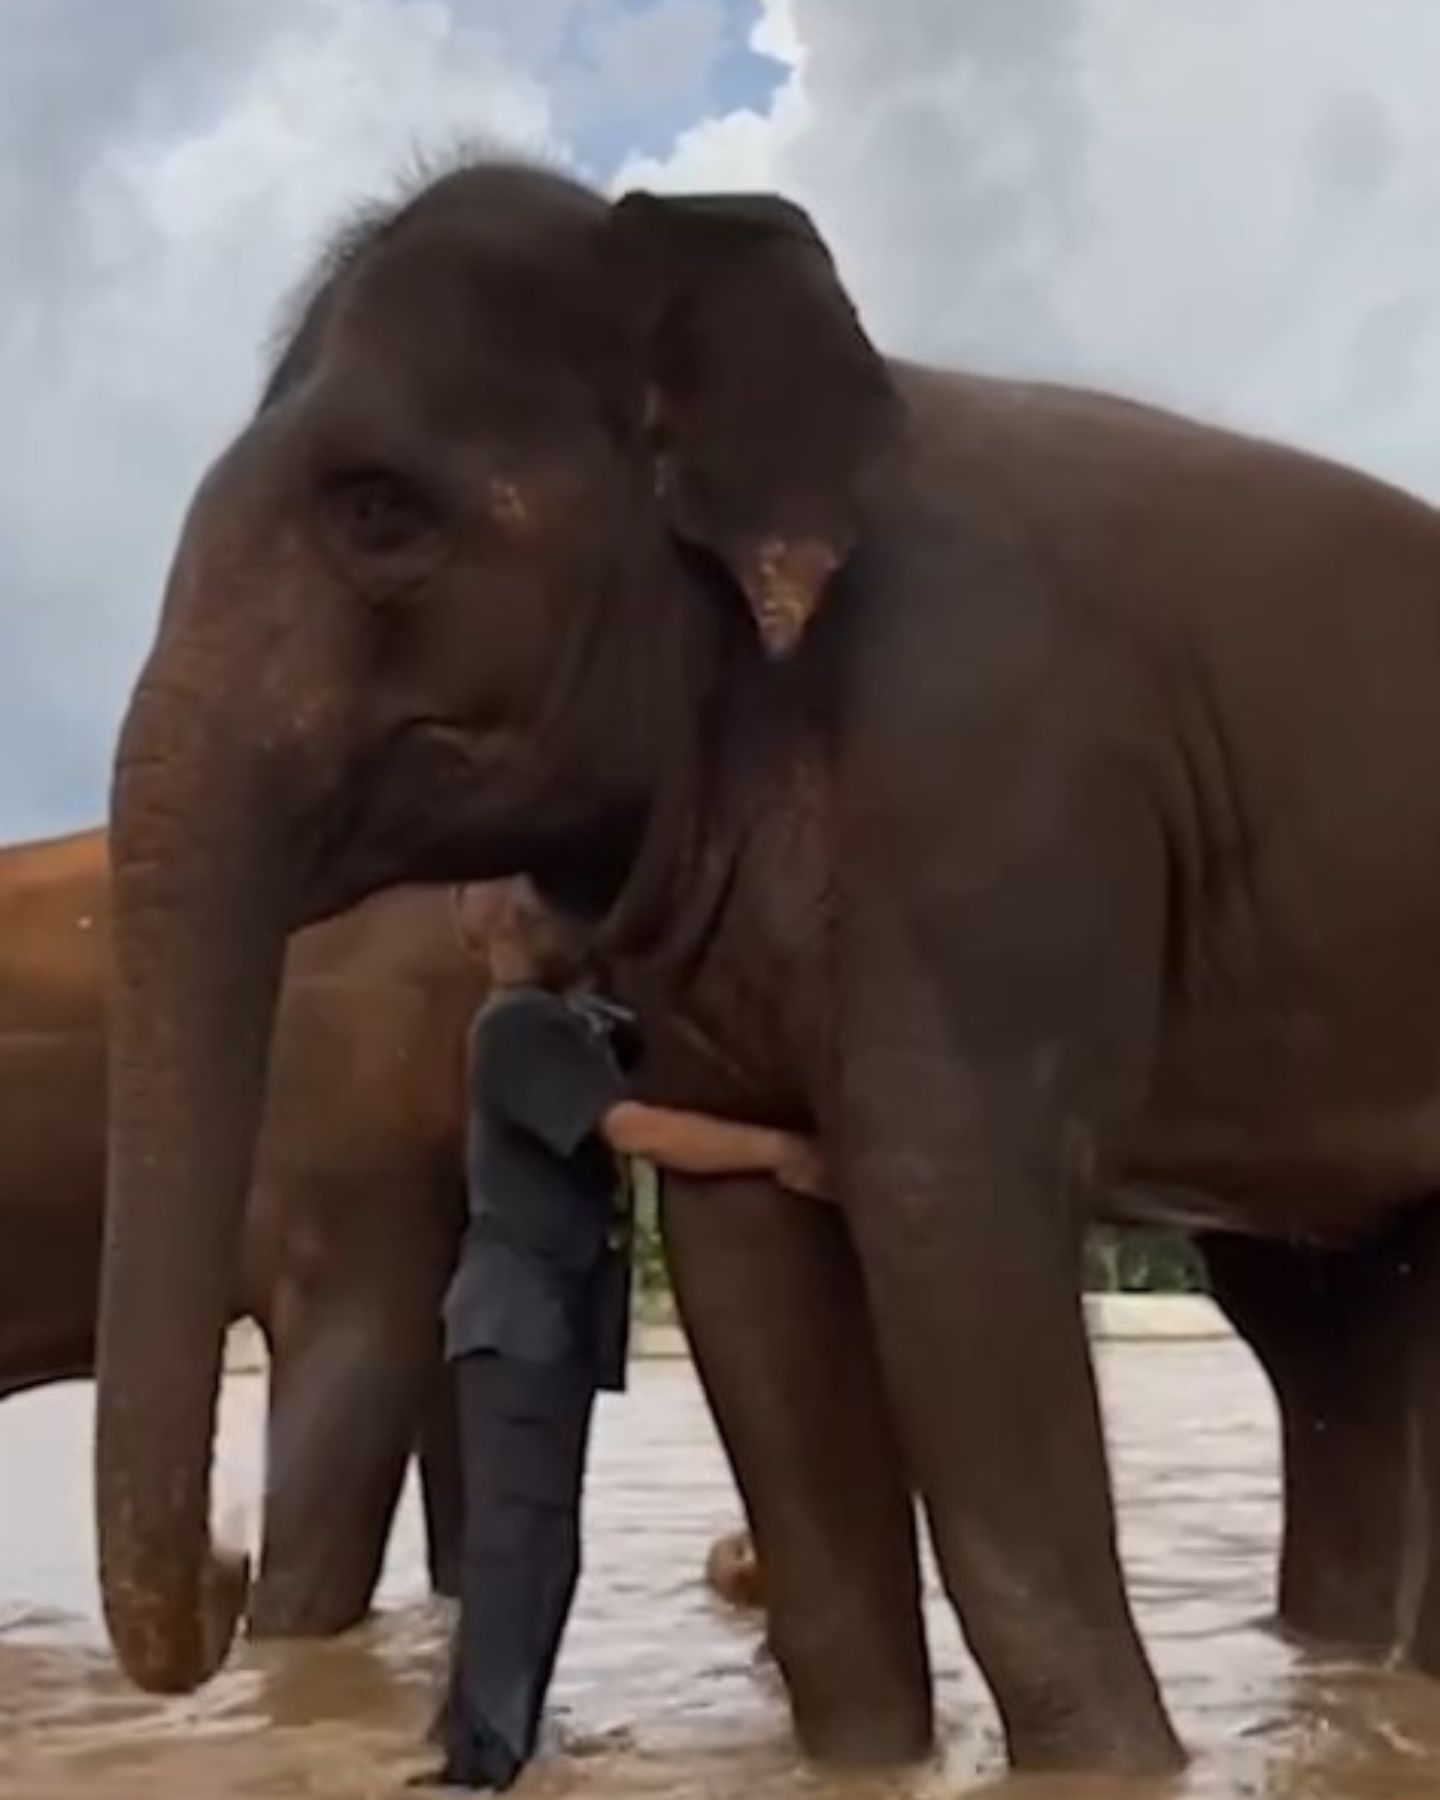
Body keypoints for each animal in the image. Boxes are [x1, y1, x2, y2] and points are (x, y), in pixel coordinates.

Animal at [90, 158, 1440, 1785]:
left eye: (380, 513)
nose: (224, 1574)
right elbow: (750, 1268)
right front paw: (862, 1766)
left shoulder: (985, 775)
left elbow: (950, 1236)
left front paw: (1114, 1775)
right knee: (1333, 1330)